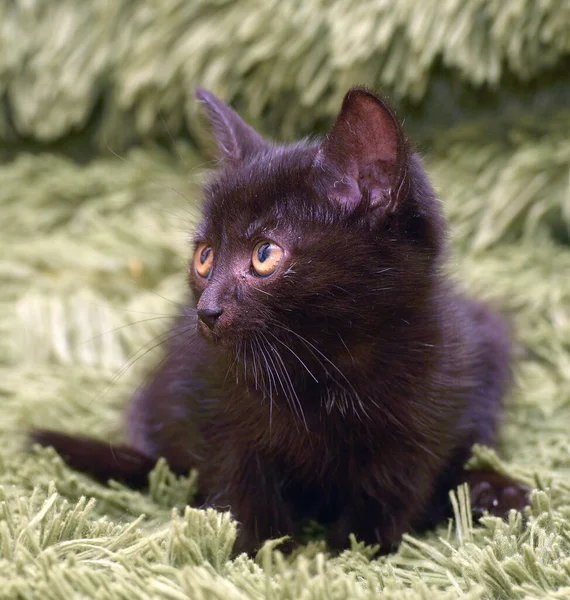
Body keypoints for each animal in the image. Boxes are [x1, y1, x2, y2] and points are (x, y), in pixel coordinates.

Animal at [32, 86, 528, 556]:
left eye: (265, 254)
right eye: (204, 257)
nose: (206, 310)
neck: (323, 362)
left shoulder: (429, 407)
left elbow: (392, 488)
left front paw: (355, 549)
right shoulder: (217, 401)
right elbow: (242, 482)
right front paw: (266, 552)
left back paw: (492, 490)